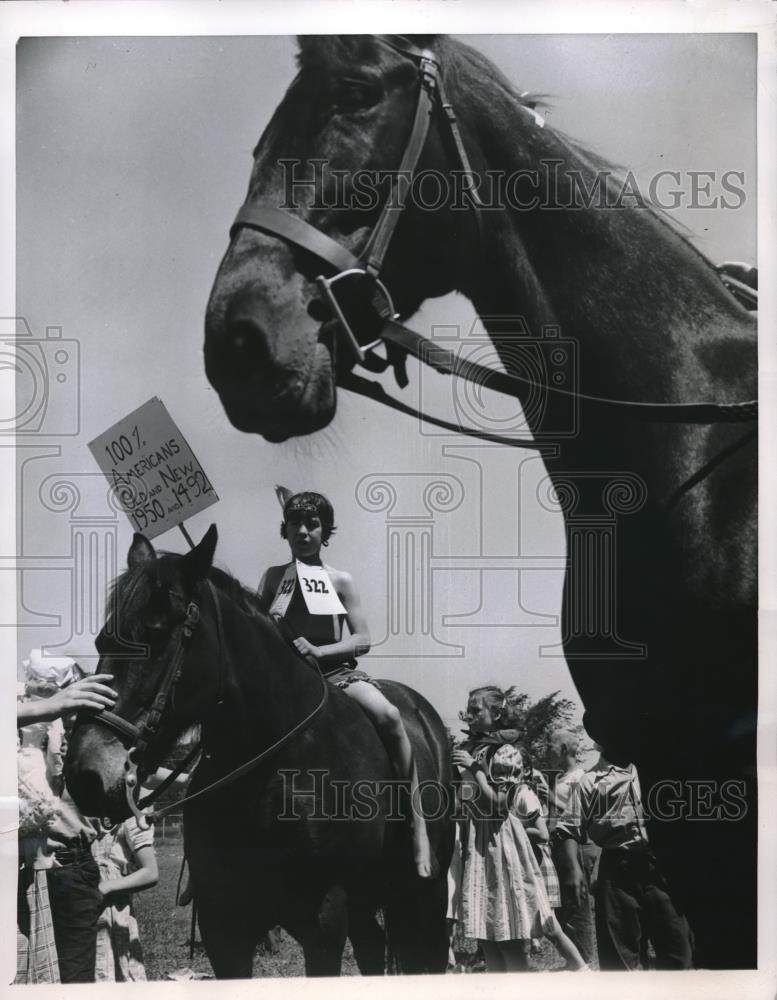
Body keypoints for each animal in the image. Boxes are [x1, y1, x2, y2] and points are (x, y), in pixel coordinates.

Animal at [68, 532, 454, 976]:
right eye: (103, 640)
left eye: (158, 635)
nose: (86, 775)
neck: (272, 774)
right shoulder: (223, 929)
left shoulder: (323, 925)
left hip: (427, 894)